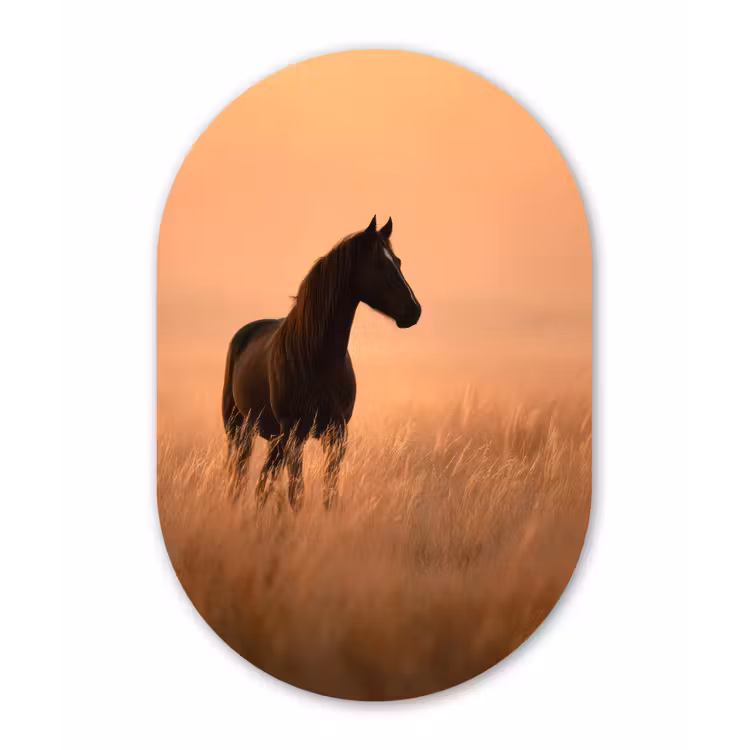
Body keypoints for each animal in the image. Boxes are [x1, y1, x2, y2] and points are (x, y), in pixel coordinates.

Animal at [221, 215, 421, 511]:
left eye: (397, 261)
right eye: (379, 264)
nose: (414, 311)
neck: (317, 358)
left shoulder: (336, 433)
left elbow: (330, 493)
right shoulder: (295, 433)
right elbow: (297, 494)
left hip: (273, 438)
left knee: (262, 483)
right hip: (241, 429)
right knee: (241, 478)